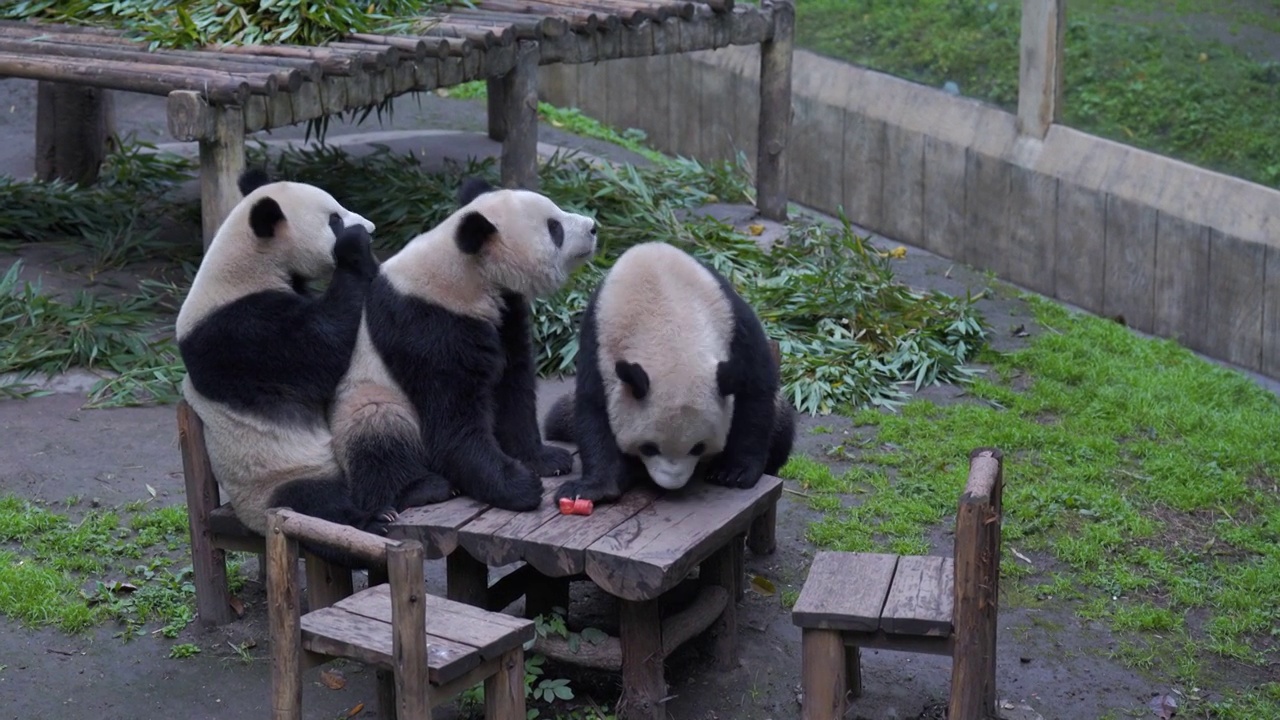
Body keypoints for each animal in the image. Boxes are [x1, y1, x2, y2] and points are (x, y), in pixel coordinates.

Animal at [175, 167, 394, 543]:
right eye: (334, 220)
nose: (371, 228)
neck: (249, 263)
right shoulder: (239, 332)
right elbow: (320, 347)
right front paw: (354, 247)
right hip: (276, 480)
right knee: (314, 501)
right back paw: (372, 520)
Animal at [330, 178, 599, 515]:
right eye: (555, 228)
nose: (593, 227)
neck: (467, 273)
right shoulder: (426, 323)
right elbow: (452, 416)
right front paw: (518, 486)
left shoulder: (504, 313)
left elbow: (513, 389)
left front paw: (545, 459)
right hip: (366, 397)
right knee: (378, 433)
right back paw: (421, 488)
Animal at [545, 238, 793, 502]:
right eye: (649, 448)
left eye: (698, 447)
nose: (672, 484)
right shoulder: (597, 340)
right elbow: (594, 408)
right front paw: (592, 488)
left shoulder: (734, 320)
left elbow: (755, 389)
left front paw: (733, 471)